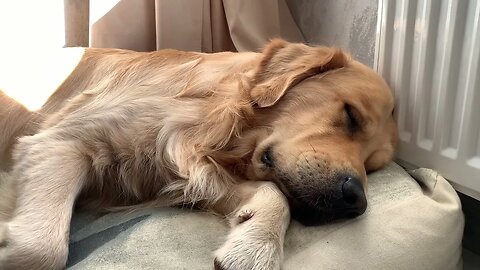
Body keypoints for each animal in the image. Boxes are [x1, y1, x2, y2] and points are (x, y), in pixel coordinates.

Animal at [0, 40, 398, 270]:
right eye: (350, 116)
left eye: (374, 167)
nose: (356, 200)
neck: (212, 114)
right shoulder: (60, 142)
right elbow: (44, 249)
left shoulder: (186, 172)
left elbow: (274, 194)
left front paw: (254, 246)